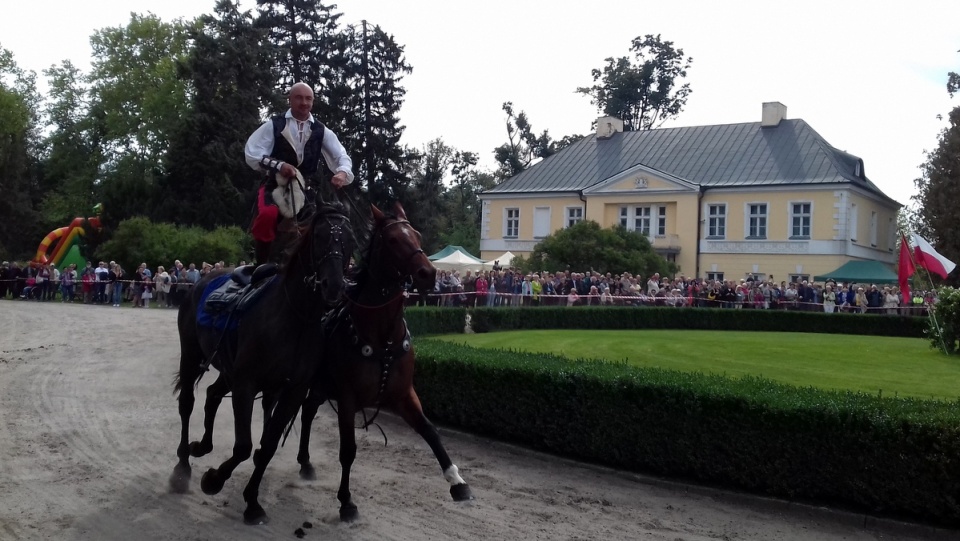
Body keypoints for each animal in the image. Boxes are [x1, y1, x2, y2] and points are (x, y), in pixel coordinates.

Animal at [170, 199, 356, 524]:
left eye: (349, 240)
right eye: (320, 237)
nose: (334, 285)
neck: (295, 318)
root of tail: (201, 280)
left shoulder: (292, 391)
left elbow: (267, 445)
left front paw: (252, 501)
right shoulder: (246, 383)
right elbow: (244, 446)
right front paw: (214, 479)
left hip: (227, 368)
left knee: (212, 395)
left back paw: (201, 445)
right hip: (192, 355)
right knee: (188, 403)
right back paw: (183, 465)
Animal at [294, 201, 470, 520]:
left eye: (416, 234)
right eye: (393, 240)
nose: (427, 273)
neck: (382, 337)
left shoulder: (403, 394)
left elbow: (430, 431)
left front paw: (456, 480)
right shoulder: (347, 399)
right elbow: (348, 450)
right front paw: (346, 500)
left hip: (321, 388)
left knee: (309, 411)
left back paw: (306, 462)